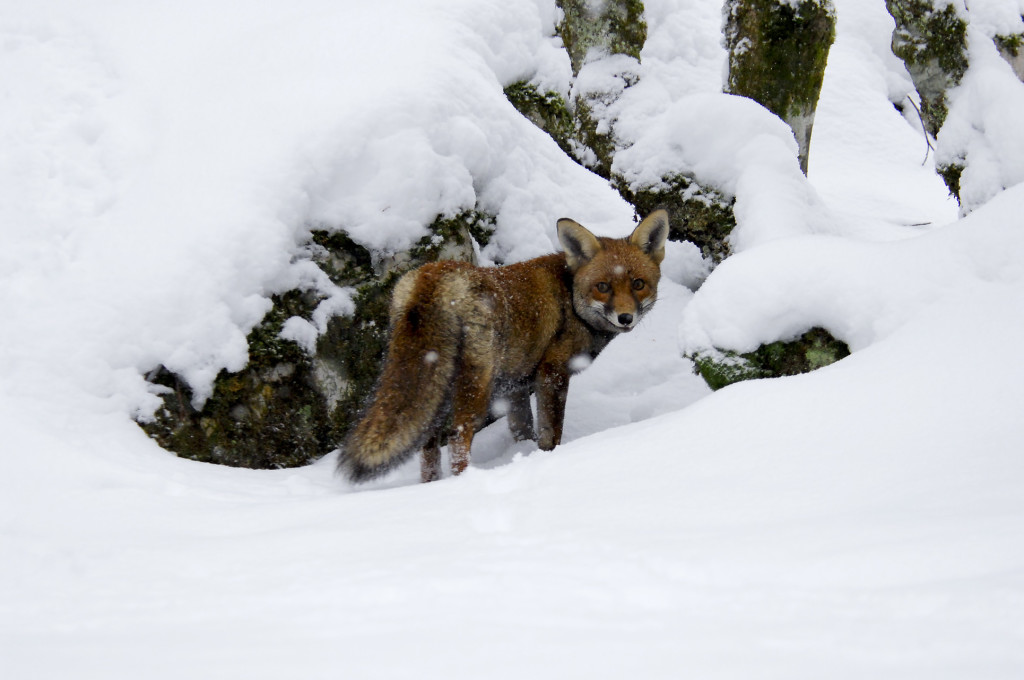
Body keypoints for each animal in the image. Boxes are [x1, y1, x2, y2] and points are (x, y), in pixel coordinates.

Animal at [337, 209, 669, 483]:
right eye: (602, 287)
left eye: (638, 284)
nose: (625, 318)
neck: (571, 302)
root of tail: (434, 274)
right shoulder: (552, 373)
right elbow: (551, 433)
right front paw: (549, 459)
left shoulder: (516, 386)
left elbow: (523, 429)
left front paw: (521, 454)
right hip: (477, 387)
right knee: (457, 438)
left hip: (436, 388)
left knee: (428, 446)